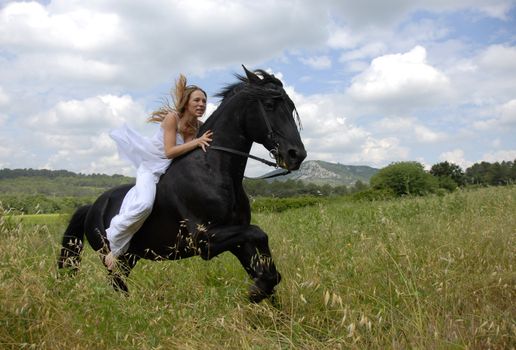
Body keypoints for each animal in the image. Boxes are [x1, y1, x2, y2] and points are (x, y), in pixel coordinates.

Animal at [56, 67, 306, 302]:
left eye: (291, 106)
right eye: (270, 105)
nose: (297, 155)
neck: (212, 170)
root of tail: (92, 207)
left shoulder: (237, 239)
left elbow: (264, 265)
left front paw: (264, 294)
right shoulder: (205, 241)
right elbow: (259, 234)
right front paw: (257, 291)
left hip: (129, 258)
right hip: (114, 257)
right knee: (117, 285)